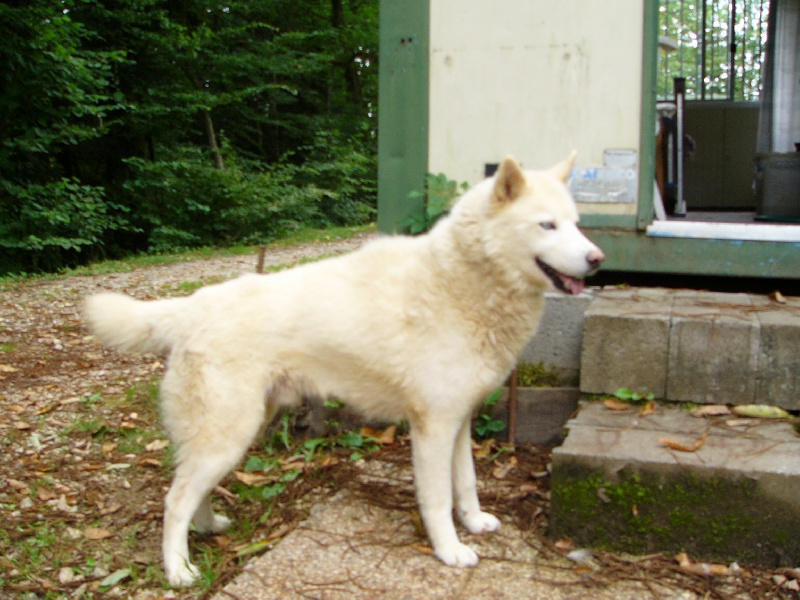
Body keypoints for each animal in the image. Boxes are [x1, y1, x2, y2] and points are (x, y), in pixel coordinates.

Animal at [83, 154, 604, 586]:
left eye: (578, 225)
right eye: (547, 225)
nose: (598, 259)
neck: (462, 280)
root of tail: (192, 306)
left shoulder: (458, 422)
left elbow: (467, 484)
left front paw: (474, 524)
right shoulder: (432, 428)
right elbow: (438, 499)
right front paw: (450, 551)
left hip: (232, 435)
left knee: (192, 489)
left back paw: (209, 528)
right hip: (229, 433)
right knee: (174, 501)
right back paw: (179, 570)